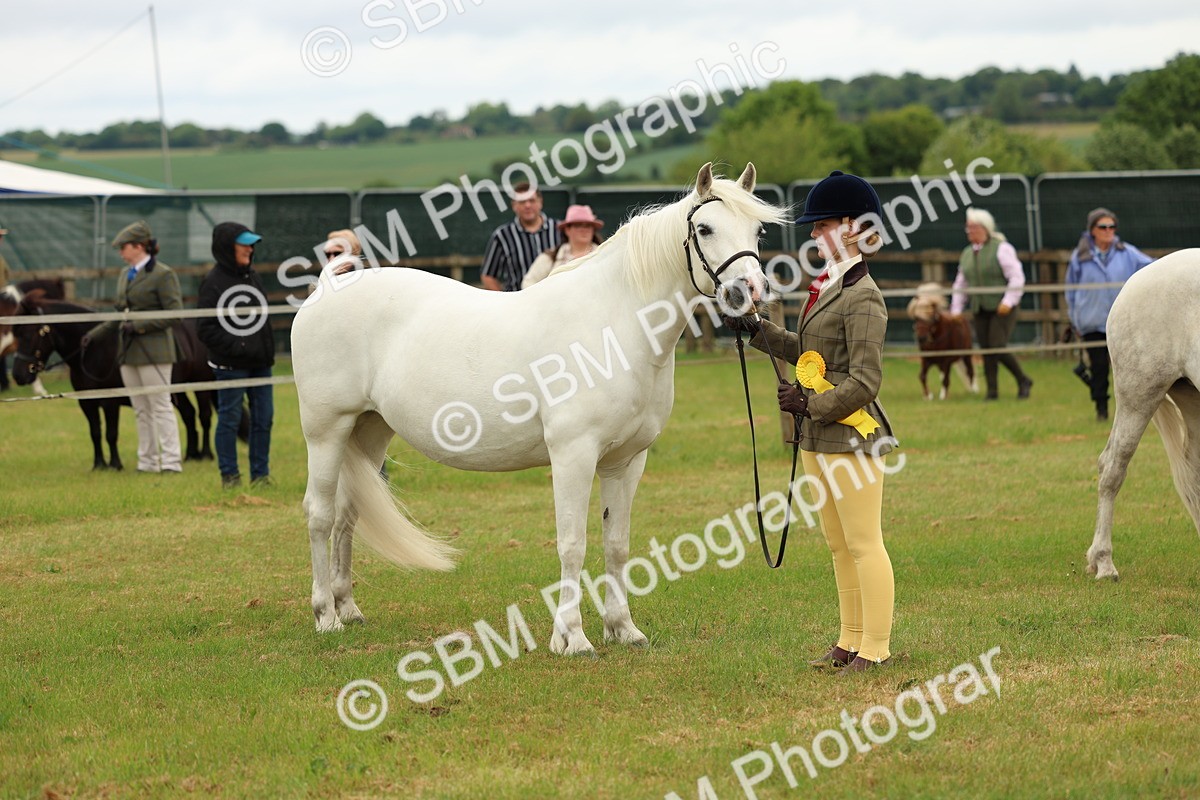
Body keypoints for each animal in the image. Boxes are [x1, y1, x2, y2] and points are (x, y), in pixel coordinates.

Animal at [10, 298, 225, 468]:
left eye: (29, 335)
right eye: (17, 336)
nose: (18, 375)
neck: (93, 353)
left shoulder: (110, 402)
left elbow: (111, 433)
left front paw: (115, 464)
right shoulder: (86, 403)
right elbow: (95, 432)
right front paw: (99, 464)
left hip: (202, 385)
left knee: (204, 417)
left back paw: (206, 454)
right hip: (175, 392)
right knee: (189, 415)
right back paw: (191, 455)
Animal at [291, 163, 787, 652]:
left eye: (758, 230)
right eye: (704, 228)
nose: (749, 291)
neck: (613, 325)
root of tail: (325, 289)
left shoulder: (627, 461)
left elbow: (617, 543)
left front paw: (623, 629)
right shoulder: (573, 455)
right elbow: (573, 544)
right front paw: (572, 637)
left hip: (369, 429)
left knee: (348, 513)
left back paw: (349, 609)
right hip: (327, 430)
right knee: (320, 515)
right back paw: (325, 617)